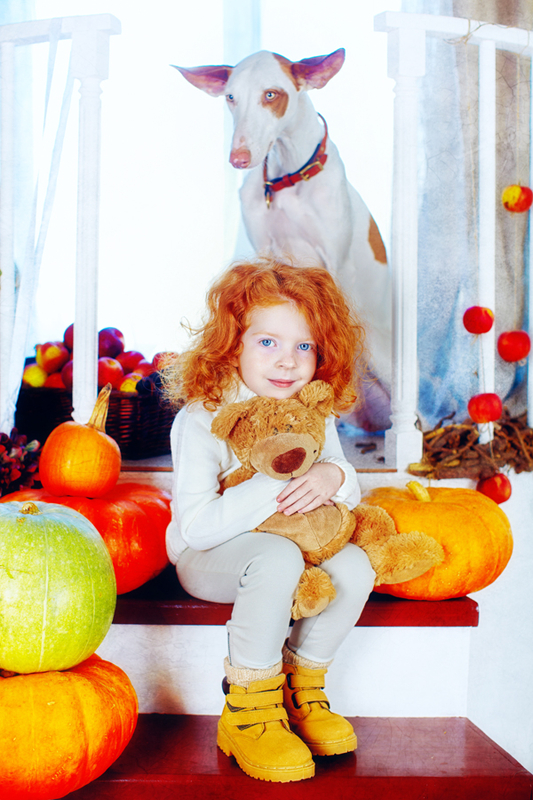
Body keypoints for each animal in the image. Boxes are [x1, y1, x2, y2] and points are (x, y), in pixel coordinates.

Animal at [174, 49, 392, 431]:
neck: (286, 173)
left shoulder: (337, 266)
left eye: (271, 95)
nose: (239, 158)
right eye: (231, 97)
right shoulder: (264, 258)